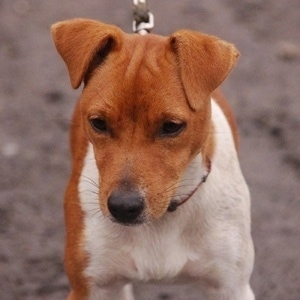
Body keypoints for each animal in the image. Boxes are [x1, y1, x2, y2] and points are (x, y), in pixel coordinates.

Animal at [52, 19, 255, 300]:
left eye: (171, 126)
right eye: (98, 123)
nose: (123, 207)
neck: (164, 217)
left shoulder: (232, 287)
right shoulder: (92, 288)